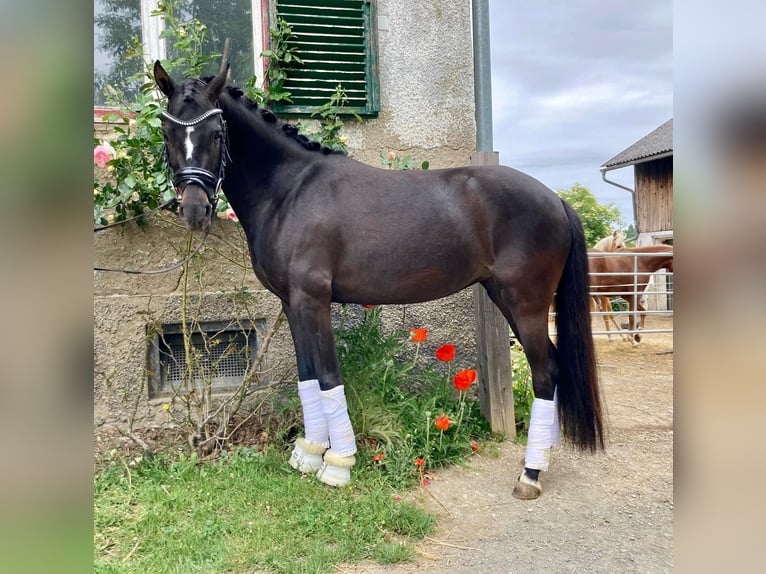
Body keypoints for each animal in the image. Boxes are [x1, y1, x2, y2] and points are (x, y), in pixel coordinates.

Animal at [152, 62, 608, 500]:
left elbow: (328, 377)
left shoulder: (312, 300)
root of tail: (555, 199)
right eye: (167, 131)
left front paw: (337, 465)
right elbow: (307, 376)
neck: (290, 191)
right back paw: (542, 457)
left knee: (546, 371)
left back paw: (530, 474)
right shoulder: (291, 303)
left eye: (215, 133)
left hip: (526, 302)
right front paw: (308, 454)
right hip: (504, 296)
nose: (194, 210)